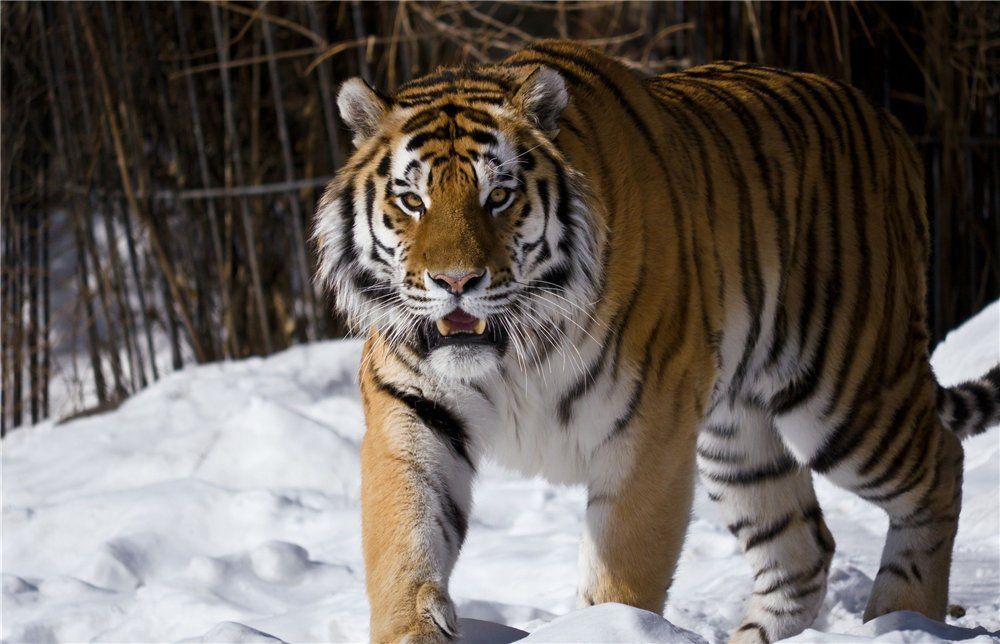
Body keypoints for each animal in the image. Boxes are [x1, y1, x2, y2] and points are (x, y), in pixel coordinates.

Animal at [313, 40, 1000, 643]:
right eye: (411, 200)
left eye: (499, 196)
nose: (456, 282)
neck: (514, 350)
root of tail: (889, 124)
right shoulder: (413, 410)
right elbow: (405, 546)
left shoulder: (648, 429)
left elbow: (623, 574)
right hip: (737, 435)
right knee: (802, 549)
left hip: (844, 391)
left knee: (940, 465)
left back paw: (903, 618)